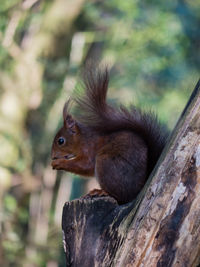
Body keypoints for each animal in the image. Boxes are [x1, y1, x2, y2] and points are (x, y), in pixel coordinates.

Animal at [50, 68, 168, 204]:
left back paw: (101, 191)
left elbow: (85, 165)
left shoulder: (90, 150)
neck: (83, 139)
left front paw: (59, 163)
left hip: (105, 162)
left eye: (61, 141)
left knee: (120, 196)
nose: (53, 156)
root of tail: (139, 188)